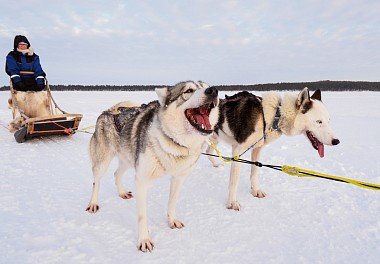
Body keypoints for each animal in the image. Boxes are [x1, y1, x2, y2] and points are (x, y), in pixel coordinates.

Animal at [85, 80, 218, 252]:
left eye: (206, 86)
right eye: (189, 90)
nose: (213, 91)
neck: (175, 143)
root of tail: (109, 111)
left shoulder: (178, 178)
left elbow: (172, 202)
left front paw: (172, 220)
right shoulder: (142, 181)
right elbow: (142, 216)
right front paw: (144, 240)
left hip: (128, 160)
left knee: (116, 174)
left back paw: (122, 192)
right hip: (102, 162)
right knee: (96, 182)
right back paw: (93, 203)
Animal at [206, 88, 340, 210]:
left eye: (328, 121)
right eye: (319, 121)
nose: (336, 141)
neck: (273, 116)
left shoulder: (257, 149)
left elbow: (254, 173)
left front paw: (256, 191)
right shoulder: (238, 151)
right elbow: (234, 182)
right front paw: (232, 203)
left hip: (214, 138)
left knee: (208, 152)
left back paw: (216, 164)